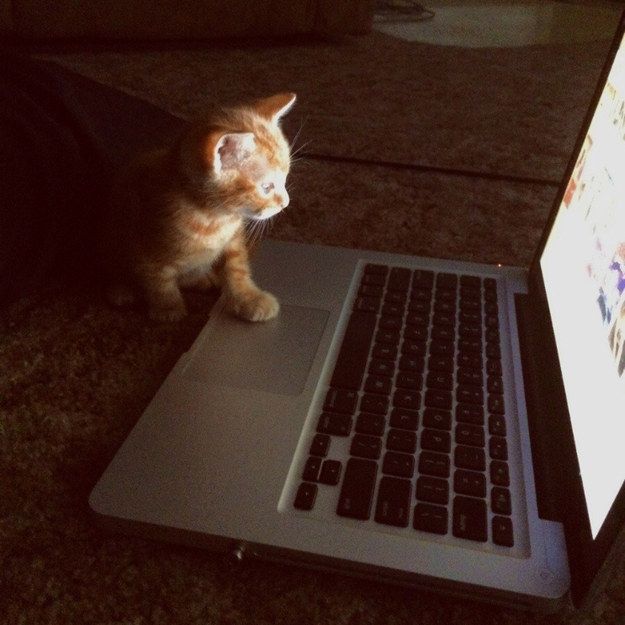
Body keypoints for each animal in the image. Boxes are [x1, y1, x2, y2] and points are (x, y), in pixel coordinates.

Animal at [101, 95, 296, 324]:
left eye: (284, 178)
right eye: (266, 187)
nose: (286, 203)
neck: (214, 218)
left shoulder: (233, 241)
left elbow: (236, 268)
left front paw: (248, 298)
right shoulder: (142, 244)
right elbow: (158, 280)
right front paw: (168, 308)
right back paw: (121, 290)